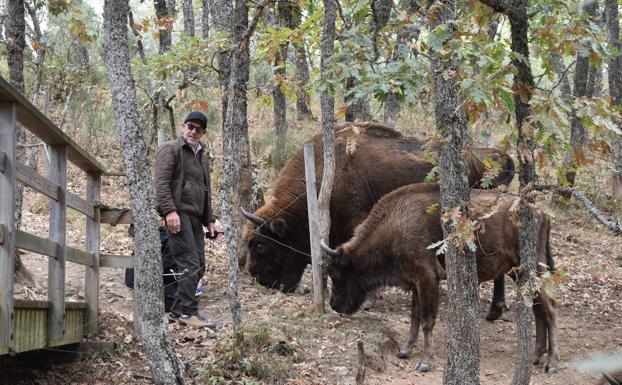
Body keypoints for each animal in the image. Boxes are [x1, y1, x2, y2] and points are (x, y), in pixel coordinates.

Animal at [322, 183, 560, 372]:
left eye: (335, 273)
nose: (334, 304)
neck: (396, 225)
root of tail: (542, 213)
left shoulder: (427, 279)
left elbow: (427, 320)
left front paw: (424, 362)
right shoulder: (416, 283)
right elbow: (415, 316)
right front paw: (405, 350)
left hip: (530, 270)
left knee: (549, 310)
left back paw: (551, 364)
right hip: (518, 273)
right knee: (539, 310)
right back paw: (535, 357)